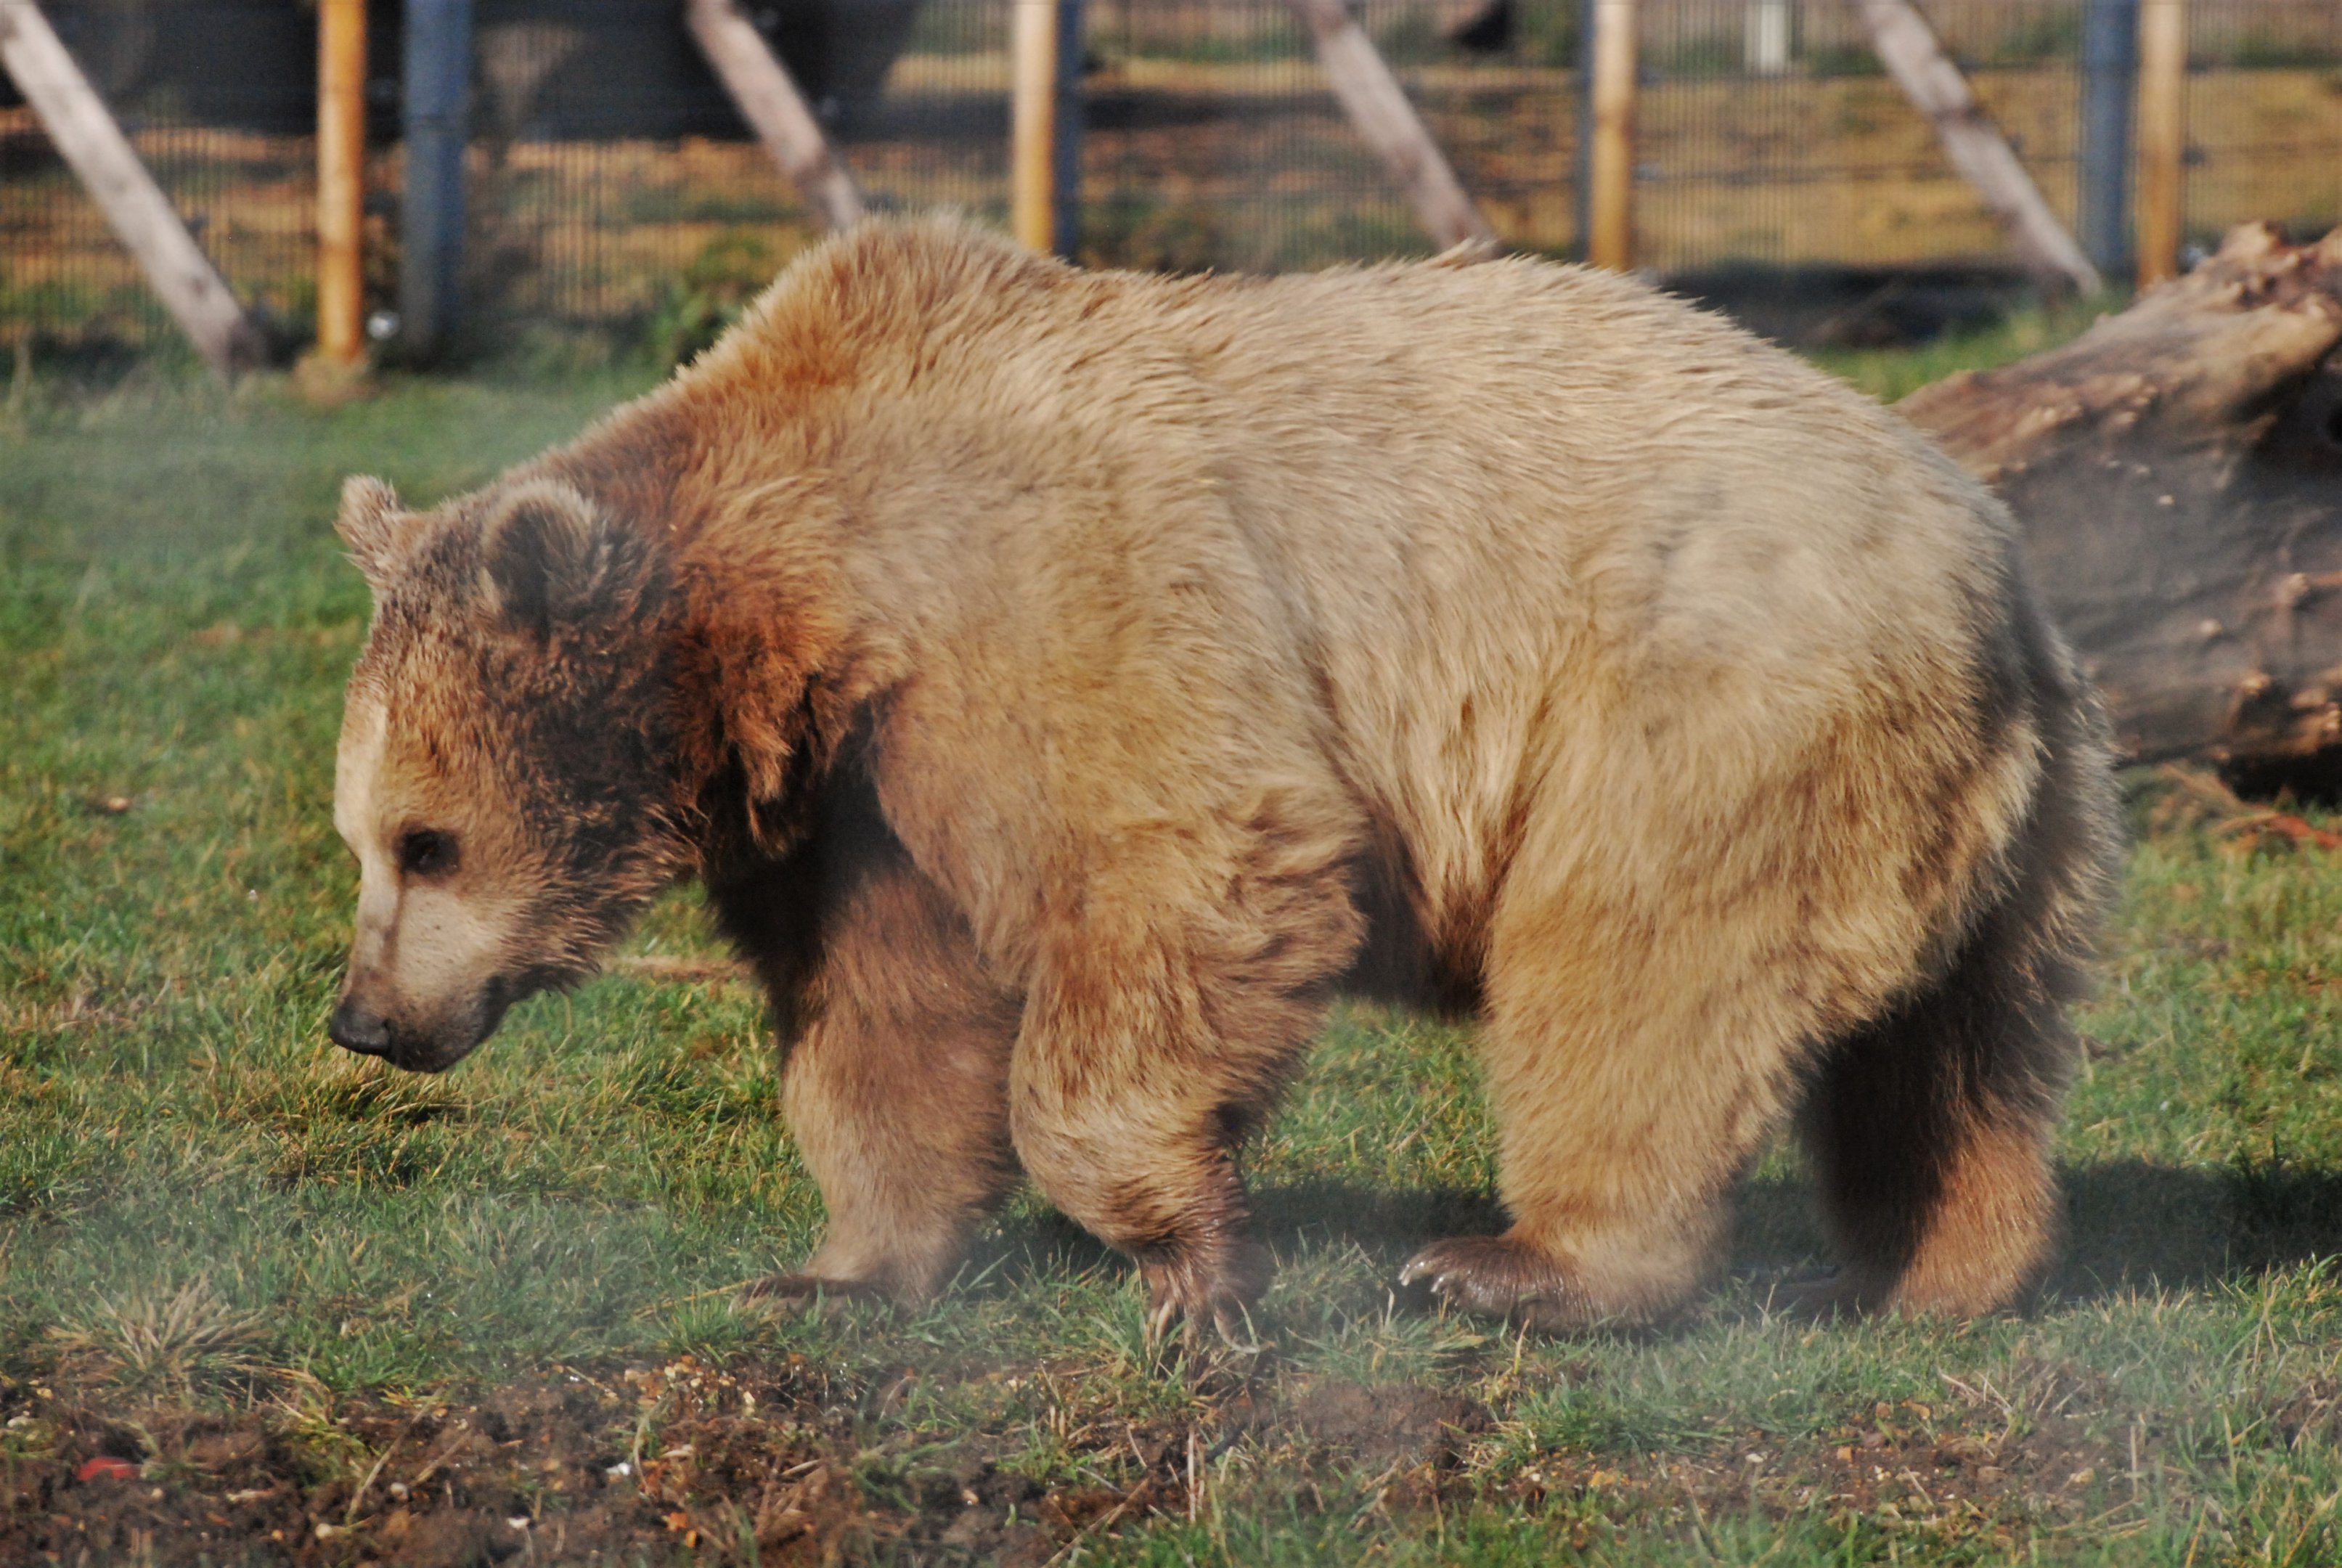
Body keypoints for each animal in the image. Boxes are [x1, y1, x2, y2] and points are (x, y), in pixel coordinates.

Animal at [326, 216, 2120, 1338]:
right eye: (360, 839)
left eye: (425, 843)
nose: (362, 1017)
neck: (805, 608)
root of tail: (1992, 554)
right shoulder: (867, 792)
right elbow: (884, 1010)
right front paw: (830, 1271)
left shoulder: (1060, 608)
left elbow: (1186, 873)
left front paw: (1188, 1255)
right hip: (1988, 811)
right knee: (1949, 1050)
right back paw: (1933, 1268)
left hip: (1704, 710)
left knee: (1636, 973)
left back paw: (1515, 1266)